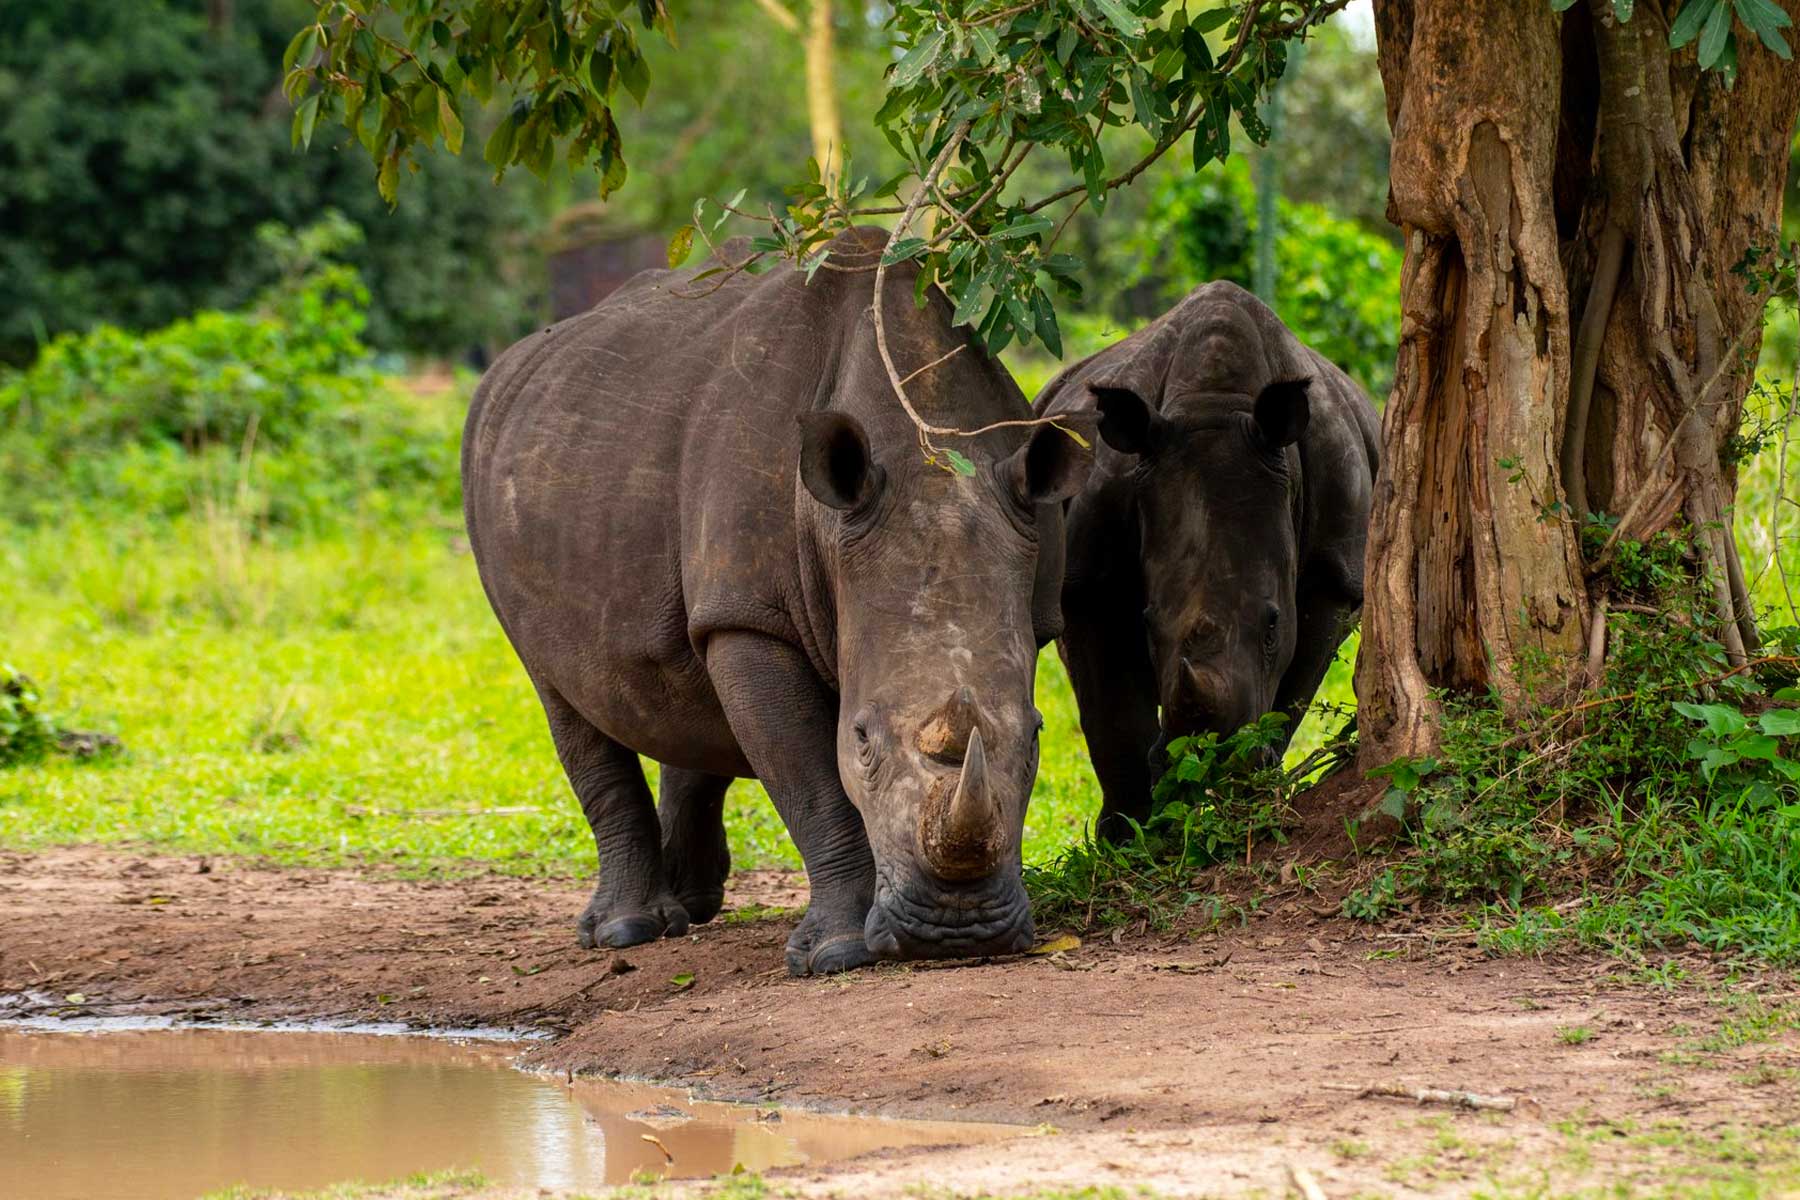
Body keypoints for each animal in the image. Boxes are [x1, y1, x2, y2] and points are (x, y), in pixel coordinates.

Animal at [462, 228, 1091, 974]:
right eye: (862, 741)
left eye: (1037, 736)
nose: (956, 933)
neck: (929, 453)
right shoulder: (752, 619)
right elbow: (812, 780)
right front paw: (839, 955)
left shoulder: (1036, 601)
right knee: (561, 691)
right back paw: (625, 932)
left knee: (681, 679)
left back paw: (692, 904)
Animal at [1034, 282, 1379, 840]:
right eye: (1148, 625)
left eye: (1272, 626)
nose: (1208, 756)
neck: (1215, 402)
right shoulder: (1089, 581)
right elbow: (1113, 721)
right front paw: (1130, 836)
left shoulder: (1335, 574)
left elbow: (1294, 694)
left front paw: (1254, 795)